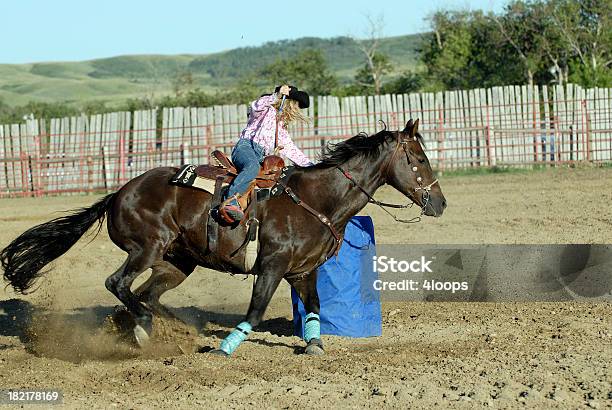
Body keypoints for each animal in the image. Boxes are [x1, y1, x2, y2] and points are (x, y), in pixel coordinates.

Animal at [0, 118, 444, 356]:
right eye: (419, 159)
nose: (439, 203)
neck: (316, 200)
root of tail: (119, 193)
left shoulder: (303, 272)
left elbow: (316, 308)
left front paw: (315, 345)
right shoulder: (271, 267)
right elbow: (255, 312)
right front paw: (225, 347)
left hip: (178, 264)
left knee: (145, 294)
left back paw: (167, 328)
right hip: (146, 248)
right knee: (118, 283)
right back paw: (146, 329)